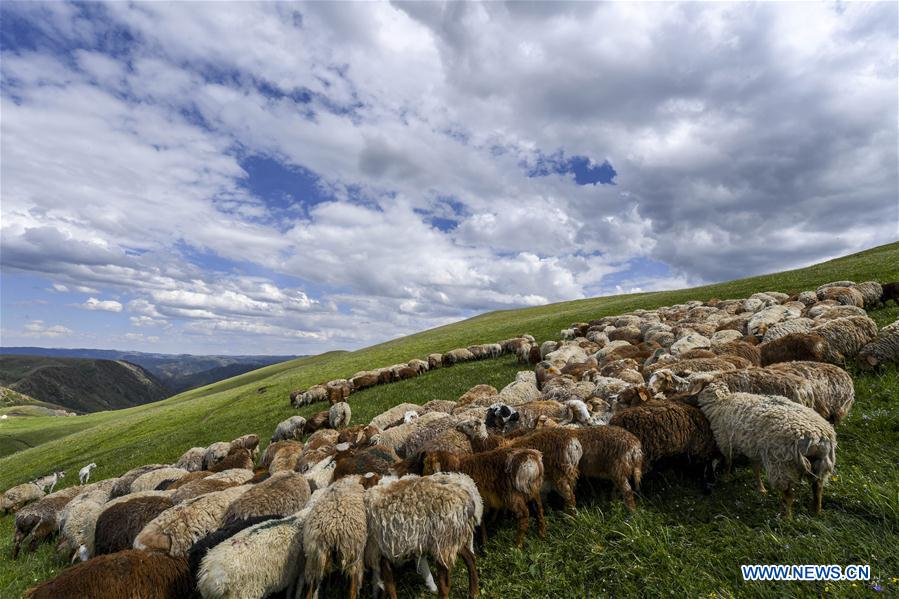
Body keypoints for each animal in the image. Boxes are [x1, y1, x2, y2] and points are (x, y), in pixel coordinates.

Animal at [696, 384, 836, 520]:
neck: (721, 402)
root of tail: (816, 438)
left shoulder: (725, 441)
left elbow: (728, 462)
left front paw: (726, 478)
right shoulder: (753, 447)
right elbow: (756, 468)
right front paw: (761, 489)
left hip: (782, 464)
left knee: (788, 494)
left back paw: (786, 518)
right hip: (819, 463)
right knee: (817, 487)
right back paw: (817, 511)